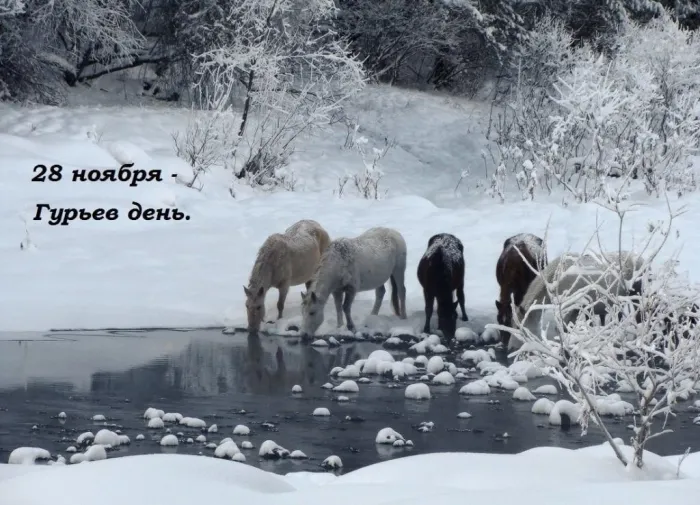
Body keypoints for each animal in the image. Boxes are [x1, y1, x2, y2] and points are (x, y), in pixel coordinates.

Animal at [508, 251, 644, 350]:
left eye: (520, 327)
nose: (510, 348)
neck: (553, 281)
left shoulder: (572, 307)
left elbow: (563, 328)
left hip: (636, 297)